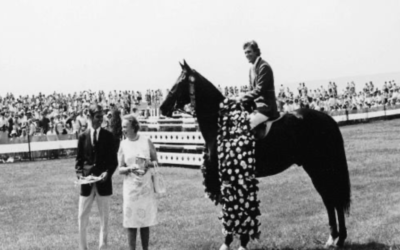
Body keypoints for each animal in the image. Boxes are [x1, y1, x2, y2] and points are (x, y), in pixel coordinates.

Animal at [159, 61, 350, 248]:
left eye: (180, 82)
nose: (162, 107)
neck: (221, 124)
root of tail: (327, 118)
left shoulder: (231, 177)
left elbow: (236, 209)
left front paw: (236, 242)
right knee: (329, 198)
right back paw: (333, 238)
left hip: (320, 167)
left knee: (332, 197)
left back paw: (338, 239)